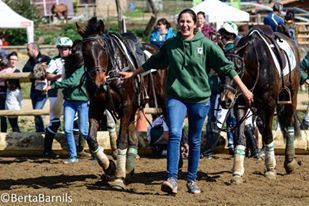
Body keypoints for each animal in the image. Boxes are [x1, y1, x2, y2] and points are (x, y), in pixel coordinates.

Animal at [75, 17, 166, 190]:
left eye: (103, 47)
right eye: (84, 51)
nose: (97, 81)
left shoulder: (126, 105)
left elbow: (121, 140)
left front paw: (117, 177)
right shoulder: (96, 106)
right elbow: (91, 139)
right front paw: (110, 167)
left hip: (161, 100)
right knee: (133, 137)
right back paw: (128, 168)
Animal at [220, 28, 300, 183]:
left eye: (238, 69)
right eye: (220, 71)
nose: (225, 100)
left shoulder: (269, 105)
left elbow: (268, 134)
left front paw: (270, 168)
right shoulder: (240, 104)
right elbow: (241, 137)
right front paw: (237, 172)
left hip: (291, 96)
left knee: (288, 124)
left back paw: (289, 161)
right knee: (261, 124)